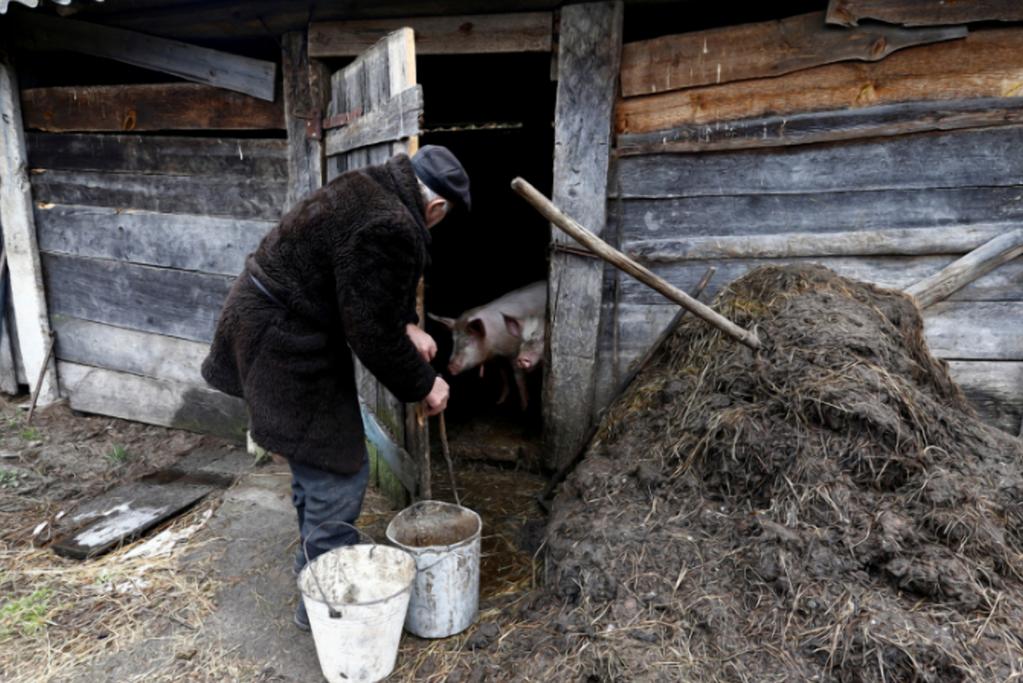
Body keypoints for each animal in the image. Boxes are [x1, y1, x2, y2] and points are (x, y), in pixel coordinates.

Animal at [427, 280, 548, 408]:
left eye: (468, 341)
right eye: (453, 341)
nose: (450, 367)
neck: (494, 347)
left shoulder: (514, 353)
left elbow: (518, 379)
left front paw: (524, 406)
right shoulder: (498, 359)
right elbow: (503, 376)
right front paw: (499, 402)